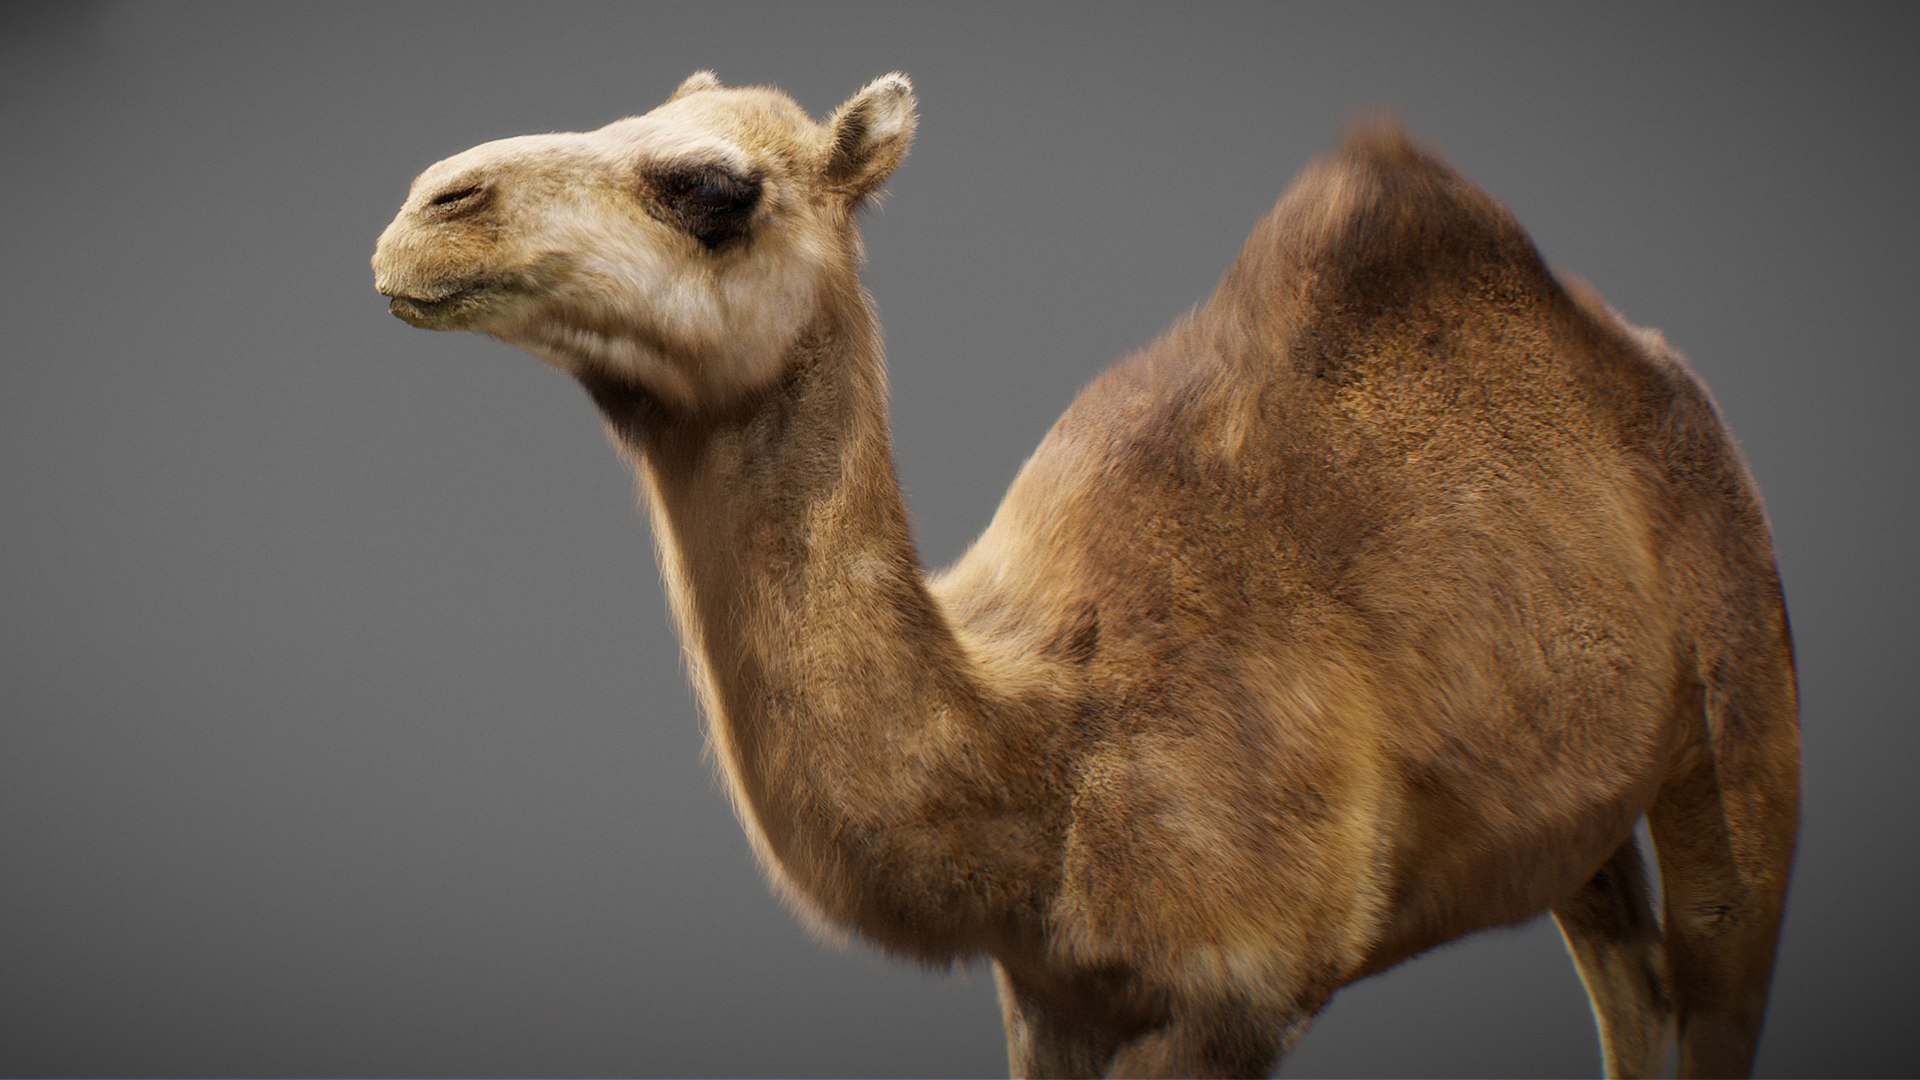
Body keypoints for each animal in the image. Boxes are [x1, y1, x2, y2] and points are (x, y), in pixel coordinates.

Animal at [371, 72, 1800, 1078]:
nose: (424, 212)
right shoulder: (1050, 996)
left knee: (1719, 961)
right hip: (1565, 818)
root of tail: (1657, 367)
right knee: (1630, 986)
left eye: (715, 191)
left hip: (1740, 691)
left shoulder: (1239, 997)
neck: (1043, 753)